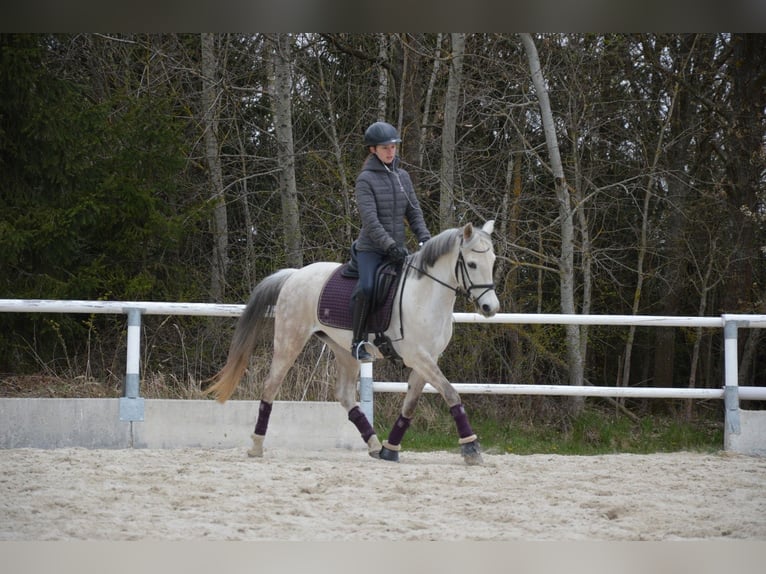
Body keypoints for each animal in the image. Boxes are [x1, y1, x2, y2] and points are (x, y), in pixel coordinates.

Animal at [207, 220, 500, 468]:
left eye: (493, 262)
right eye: (472, 264)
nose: (490, 308)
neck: (426, 294)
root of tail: (295, 275)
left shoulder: (429, 357)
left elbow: (411, 403)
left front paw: (390, 449)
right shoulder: (416, 356)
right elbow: (451, 393)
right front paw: (471, 448)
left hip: (343, 350)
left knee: (345, 395)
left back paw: (374, 445)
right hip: (290, 340)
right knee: (270, 386)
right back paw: (256, 446)